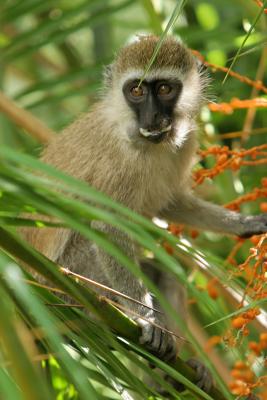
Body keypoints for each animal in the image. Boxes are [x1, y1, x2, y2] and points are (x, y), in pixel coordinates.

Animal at [21, 35, 267, 394]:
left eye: (164, 88)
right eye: (136, 90)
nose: (151, 116)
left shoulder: (187, 140)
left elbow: (171, 203)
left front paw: (245, 225)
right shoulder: (122, 162)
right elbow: (106, 226)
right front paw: (146, 318)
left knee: (167, 276)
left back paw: (170, 376)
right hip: (71, 279)